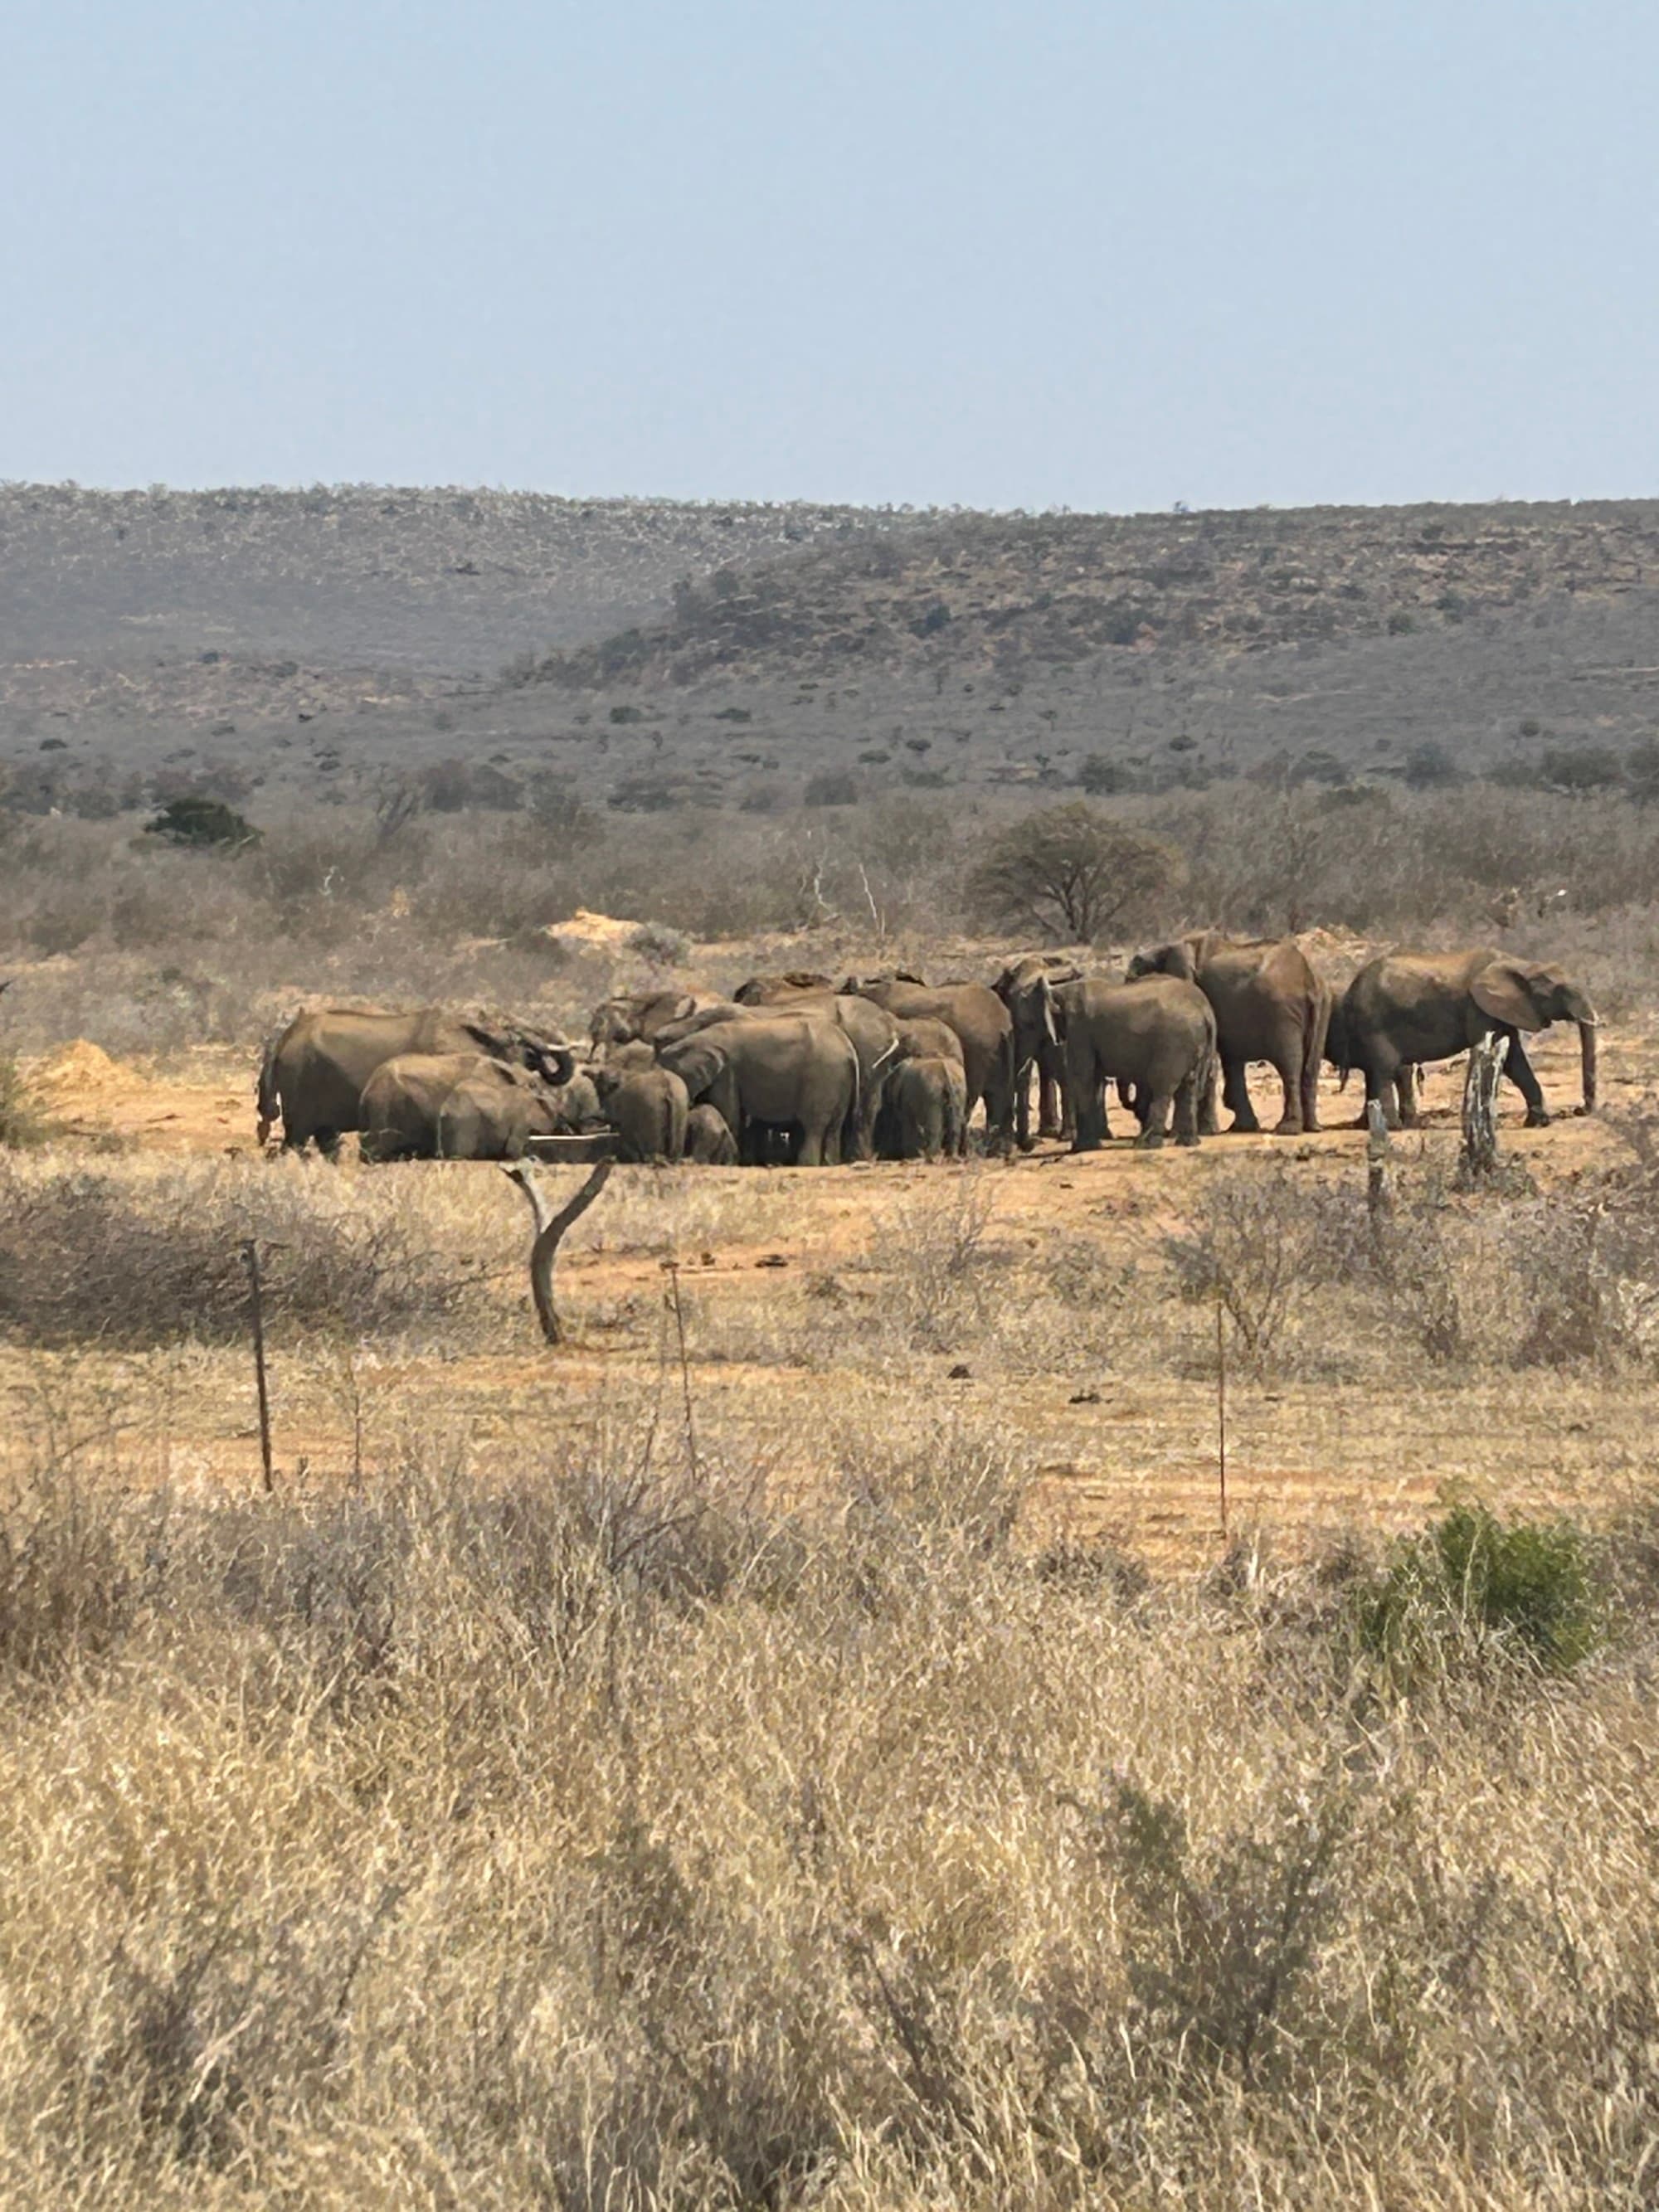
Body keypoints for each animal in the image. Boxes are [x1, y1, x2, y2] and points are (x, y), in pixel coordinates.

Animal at [656, 1015, 858, 1167]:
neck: (695, 1040)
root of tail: (848, 1047)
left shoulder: (727, 1071)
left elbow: (728, 1113)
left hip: (822, 1075)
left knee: (813, 1125)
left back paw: (806, 1165)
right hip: (838, 1077)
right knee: (834, 1126)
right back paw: (830, 1163)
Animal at [1052, 975, 1216, 1151]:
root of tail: (1206, 1010)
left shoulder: (1079, 1029)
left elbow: (1082, 1076)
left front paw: (1083, 1148)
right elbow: (1091, 1076)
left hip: (1174, 1043)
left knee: (1162, 1086)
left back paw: (1147, 1144)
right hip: (1192, 1041)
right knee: (1189, 1085)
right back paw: (1189, 1143)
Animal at [1127, 932, 1330, 1136]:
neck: (1163, 948)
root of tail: (1308, 978)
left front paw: (1208, 1131)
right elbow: (1231, 1059)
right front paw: (1242, 1127)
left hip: (1282, 1011)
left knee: (1290, 1066)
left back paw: (1288, 1129)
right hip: (1323, 1006)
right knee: (1311, 1067)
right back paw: (1312, 1127)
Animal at [1335, 950, 1598, 1129]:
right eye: (1561, 991)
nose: (1578, 1110)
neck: (1520, 964)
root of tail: (1351, 990)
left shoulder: (1501, 1010)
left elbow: (1514, 1059)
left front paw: (1538, 1123)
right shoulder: (1479, 1009)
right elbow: (1501, 1056)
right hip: (1373, 1021)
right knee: (1384, 1069)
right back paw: (1393, 1127)